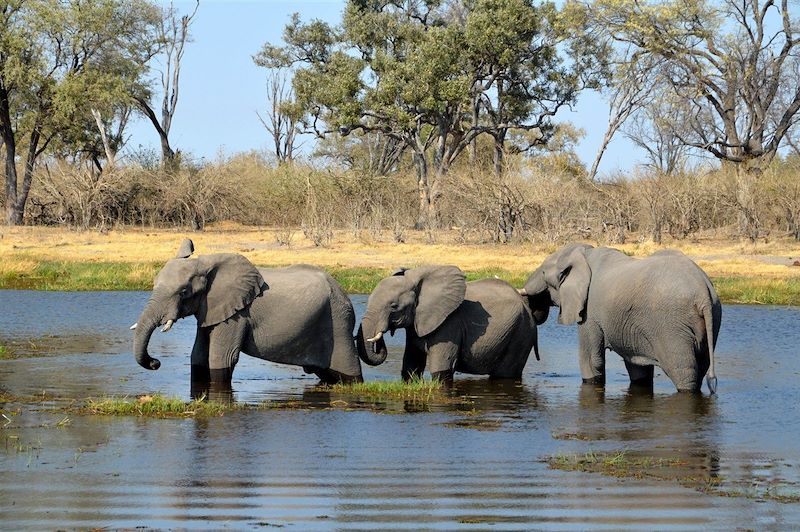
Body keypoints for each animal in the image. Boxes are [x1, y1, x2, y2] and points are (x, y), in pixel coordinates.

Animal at [130, 239, 362, 388]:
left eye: (184, 292)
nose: (156, 362)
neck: (206, 263)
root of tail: (343, 292)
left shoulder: (237, 315)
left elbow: (222, 357)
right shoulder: (211, 310)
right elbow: (198, 356)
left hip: (338, 321)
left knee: (350, 372)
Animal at [354, 266, 536, 382]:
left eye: (394, 306)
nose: (380, 338)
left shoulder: (450, 323)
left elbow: (441, 368)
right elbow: (412, 364)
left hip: (521, 332)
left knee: (505, 374)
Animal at [520, 243, 720, 392]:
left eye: (543, 272)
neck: (584, 253)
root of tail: (703, 291)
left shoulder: (590, 310)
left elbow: (591, 359)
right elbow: (637, 367)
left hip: (671, 326)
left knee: (683, 371)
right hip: (710, 320)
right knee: (701, 366)